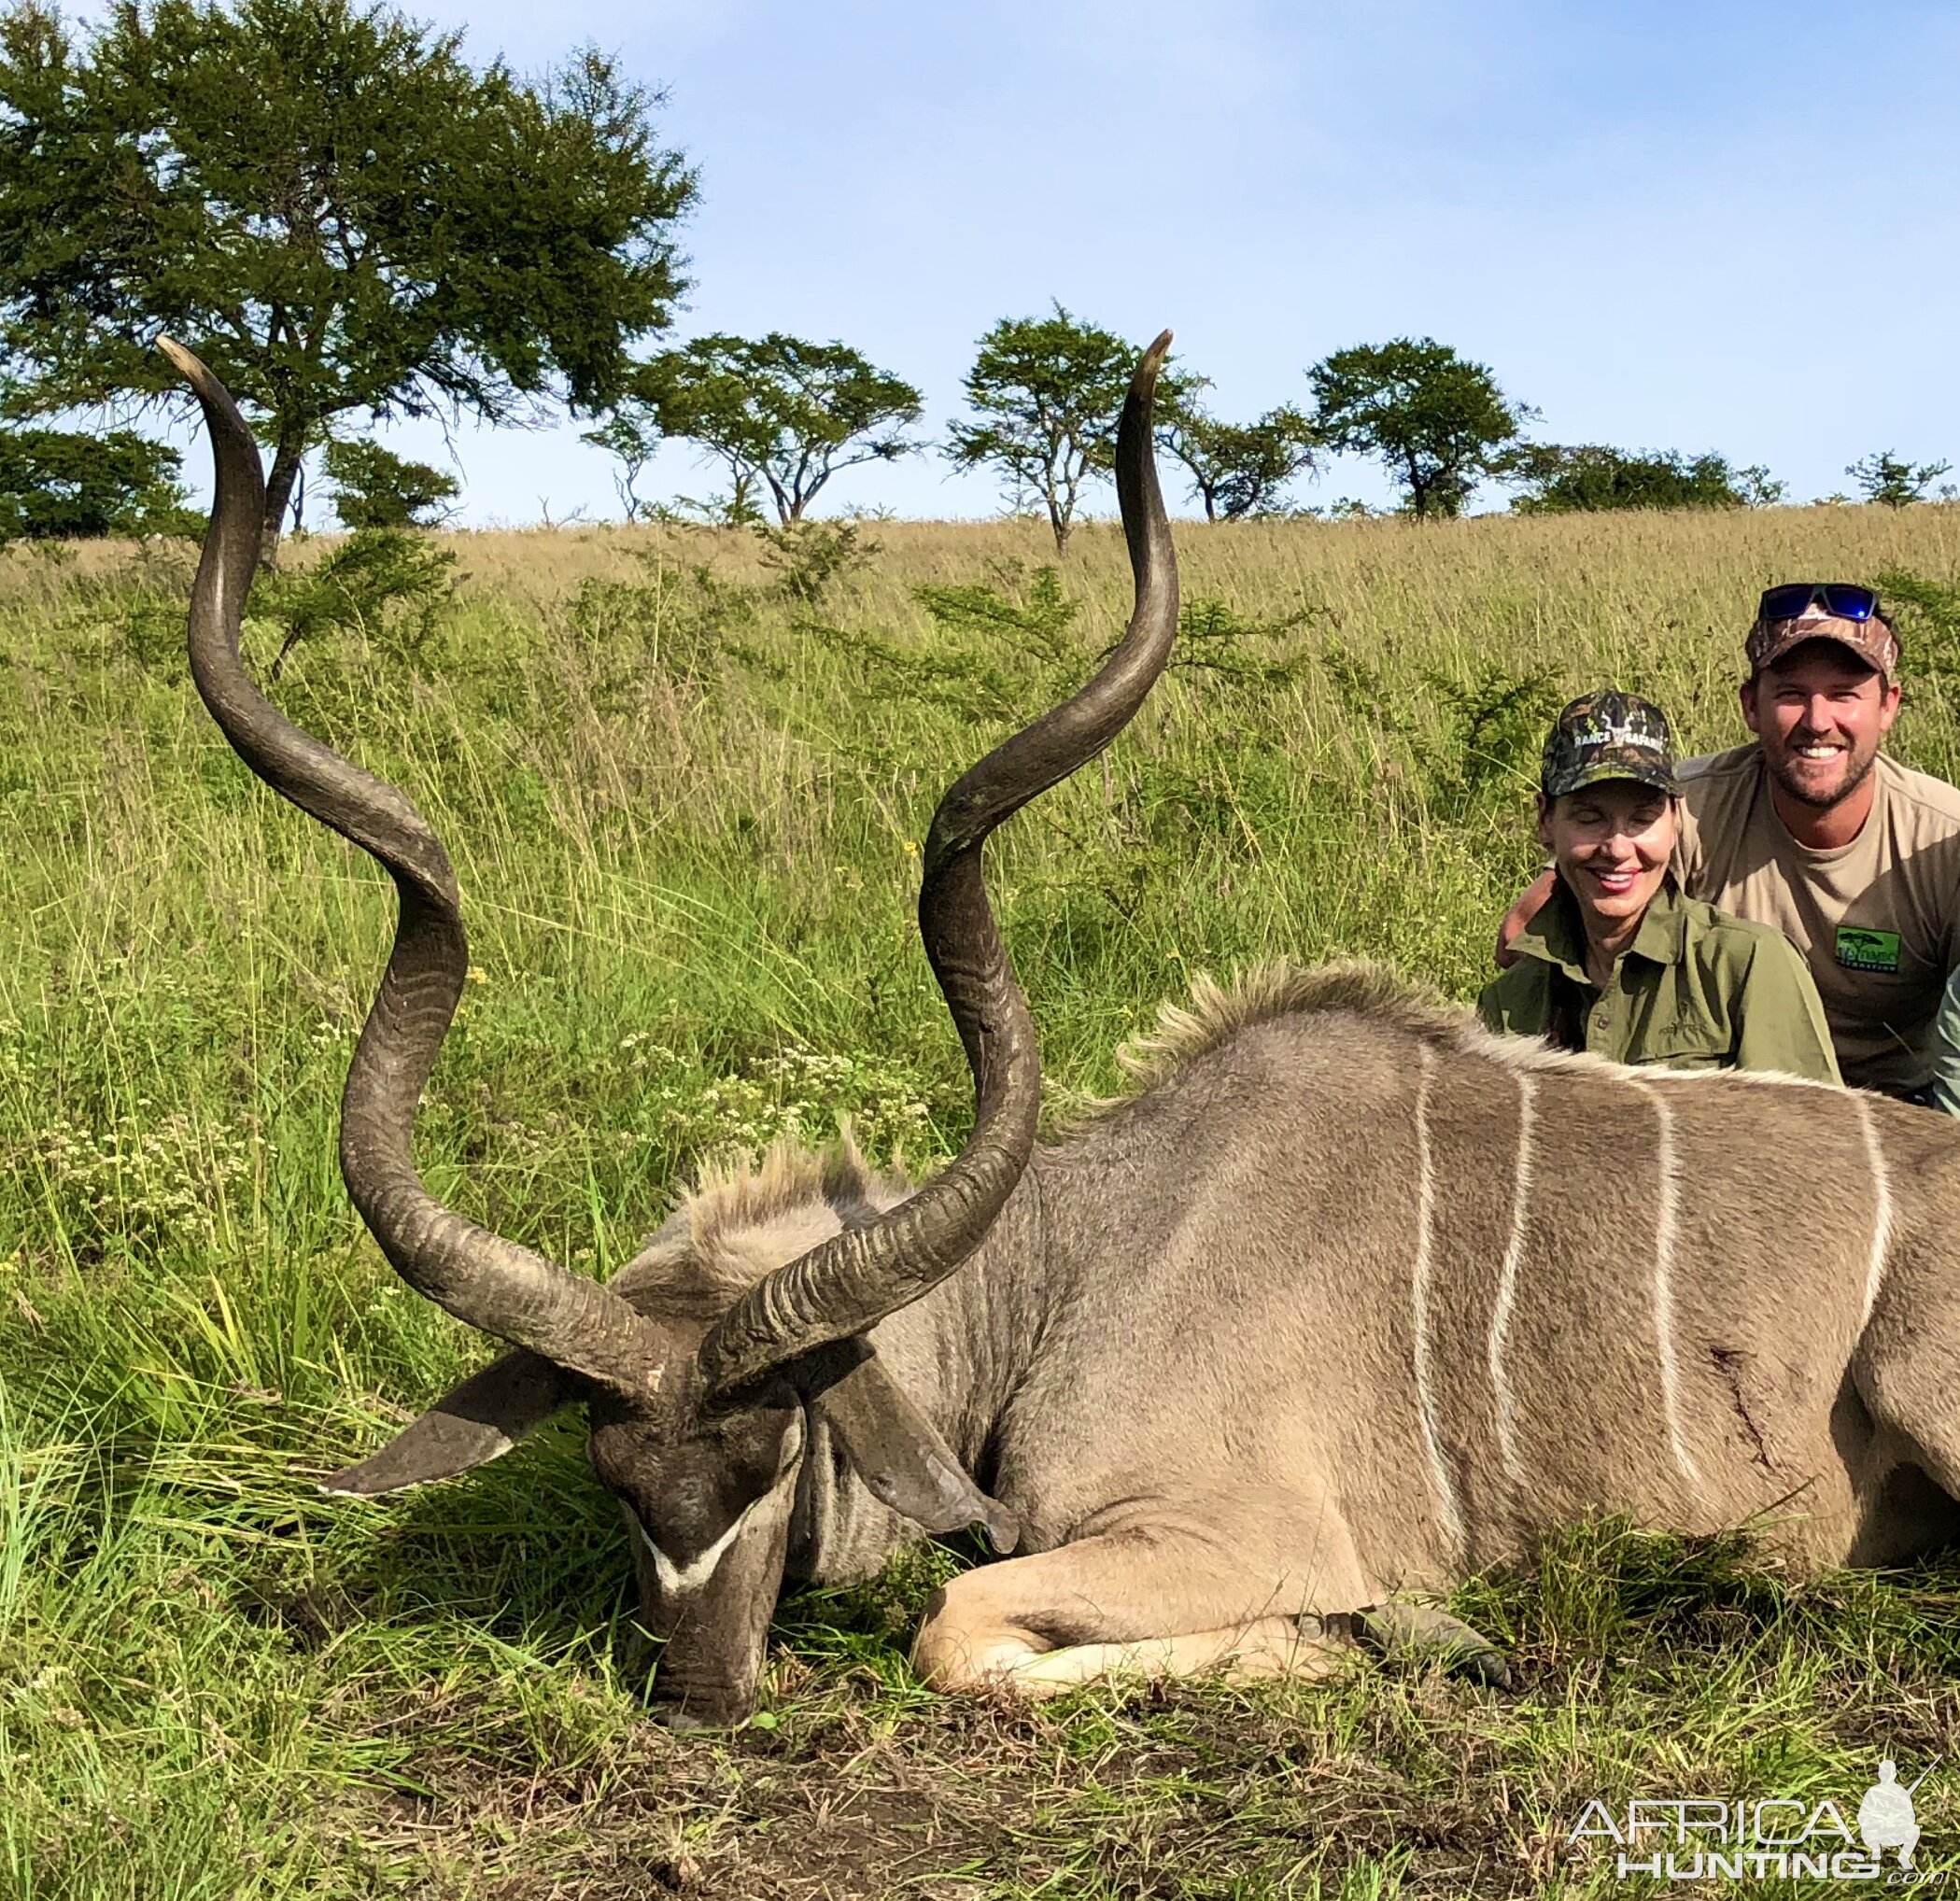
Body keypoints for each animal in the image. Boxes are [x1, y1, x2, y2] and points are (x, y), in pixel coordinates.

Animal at [168, 332, 1960, 1725]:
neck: (1077, 1256)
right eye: (617, 1477)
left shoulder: (1233, 1529)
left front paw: (1375, 1641)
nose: (702, 1691)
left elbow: (959, 1628)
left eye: (771, 1454)